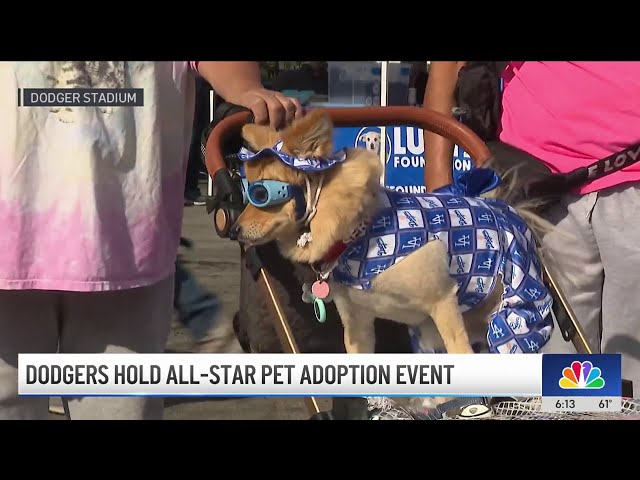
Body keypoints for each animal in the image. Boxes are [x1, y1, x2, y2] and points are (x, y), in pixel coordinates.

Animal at [232, 110, 556, 410]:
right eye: (247, 191)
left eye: (262, 194)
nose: (234, 229)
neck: (360, 233)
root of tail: (507, 209)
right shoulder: (358, 324)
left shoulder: (442, 302)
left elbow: (461, 353)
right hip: (429, 331)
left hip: (516, 311)